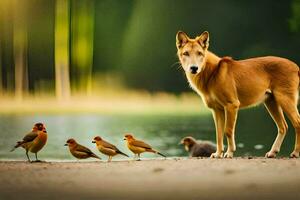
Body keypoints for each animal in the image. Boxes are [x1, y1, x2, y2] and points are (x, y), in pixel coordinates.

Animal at [176, 30, 300, 159]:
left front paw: (229, 153)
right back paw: (272, 152)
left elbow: (228, 131)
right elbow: (218, 134)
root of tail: (296, 67)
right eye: (186, 53)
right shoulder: (217, 110)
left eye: (199, 53)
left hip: (285, 99)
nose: (194, 68)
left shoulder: (232, 105)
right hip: (271, 102)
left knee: (297, 123)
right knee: (283, 127)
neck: (212, 73)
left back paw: (295, 152)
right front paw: (218, 154)